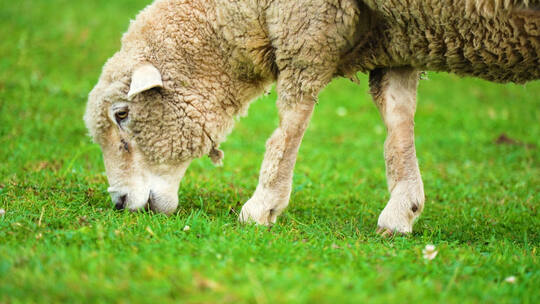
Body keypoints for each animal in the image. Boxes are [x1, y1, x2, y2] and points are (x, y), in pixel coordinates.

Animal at [84, 0, 540, 235]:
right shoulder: (399, 36)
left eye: (122, 114)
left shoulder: (310, 20)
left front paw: (262, 206)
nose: (119, 202)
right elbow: (397, 118)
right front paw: (402, 210)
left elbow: (291, 118)